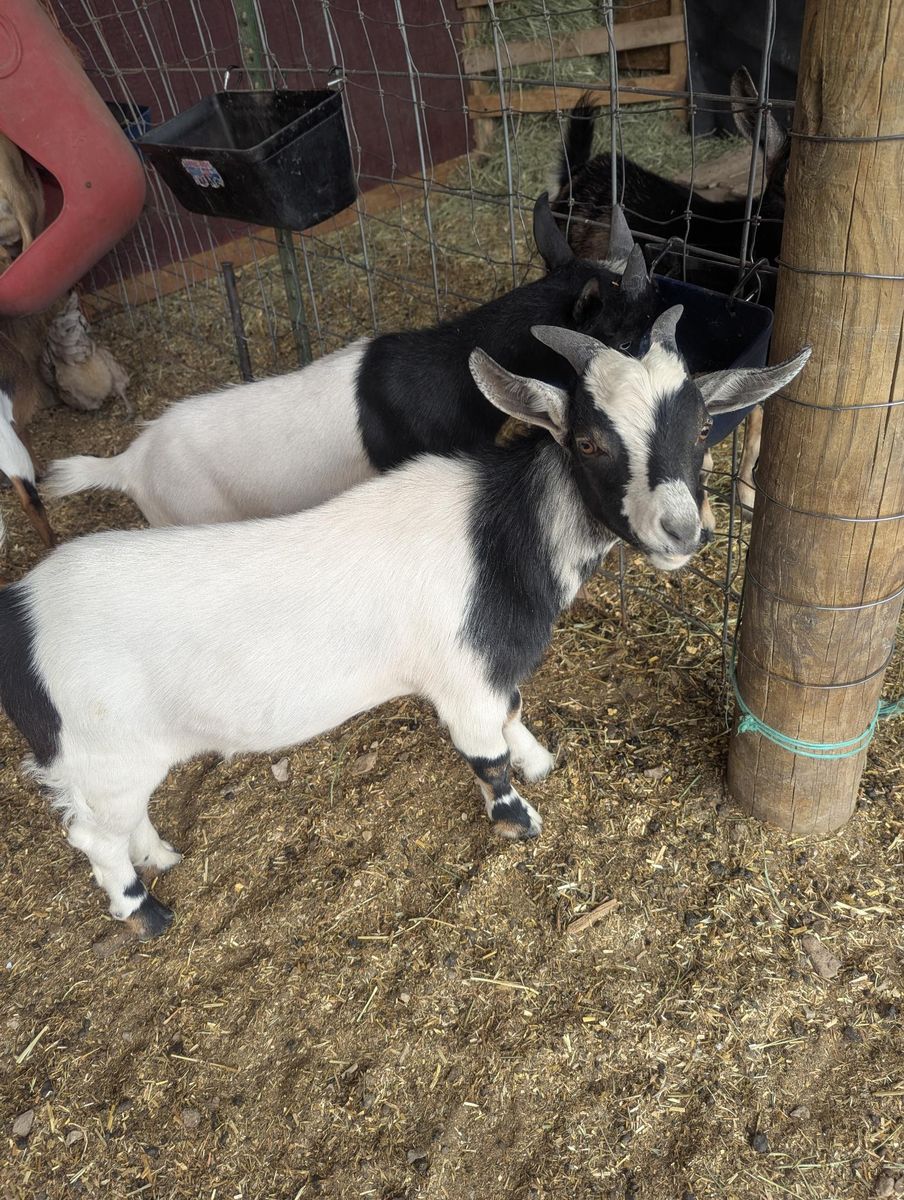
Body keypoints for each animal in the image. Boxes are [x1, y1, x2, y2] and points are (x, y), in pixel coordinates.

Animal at [0, 307, 810, 937]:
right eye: (587, 440)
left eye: (702, 428)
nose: (681, 531)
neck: (501, 534)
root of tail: (18, 618)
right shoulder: (462, 681)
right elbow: (486, 756)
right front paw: (519, 818)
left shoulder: (494, 672)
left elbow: (515, 710)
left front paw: (541, 758)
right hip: (106, 754)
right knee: (91, 835)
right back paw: (144, 910)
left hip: (110, 763)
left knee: (114, 821)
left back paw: (160, 856)